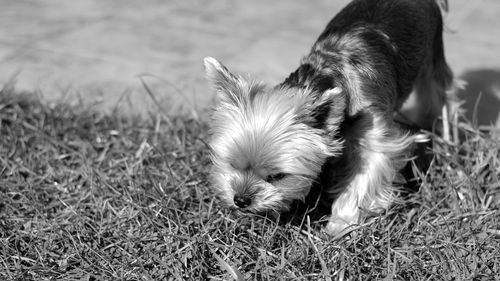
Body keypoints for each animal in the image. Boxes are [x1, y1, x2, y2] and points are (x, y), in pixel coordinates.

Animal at [203, 0, 458, 235]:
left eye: (277, 176)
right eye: (230, 162)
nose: (241, 200)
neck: (325, 74)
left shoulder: (373, 132)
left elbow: (363, 178)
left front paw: (340, 227)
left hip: (433, 53)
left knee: (440, 94)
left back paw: (447, 143)